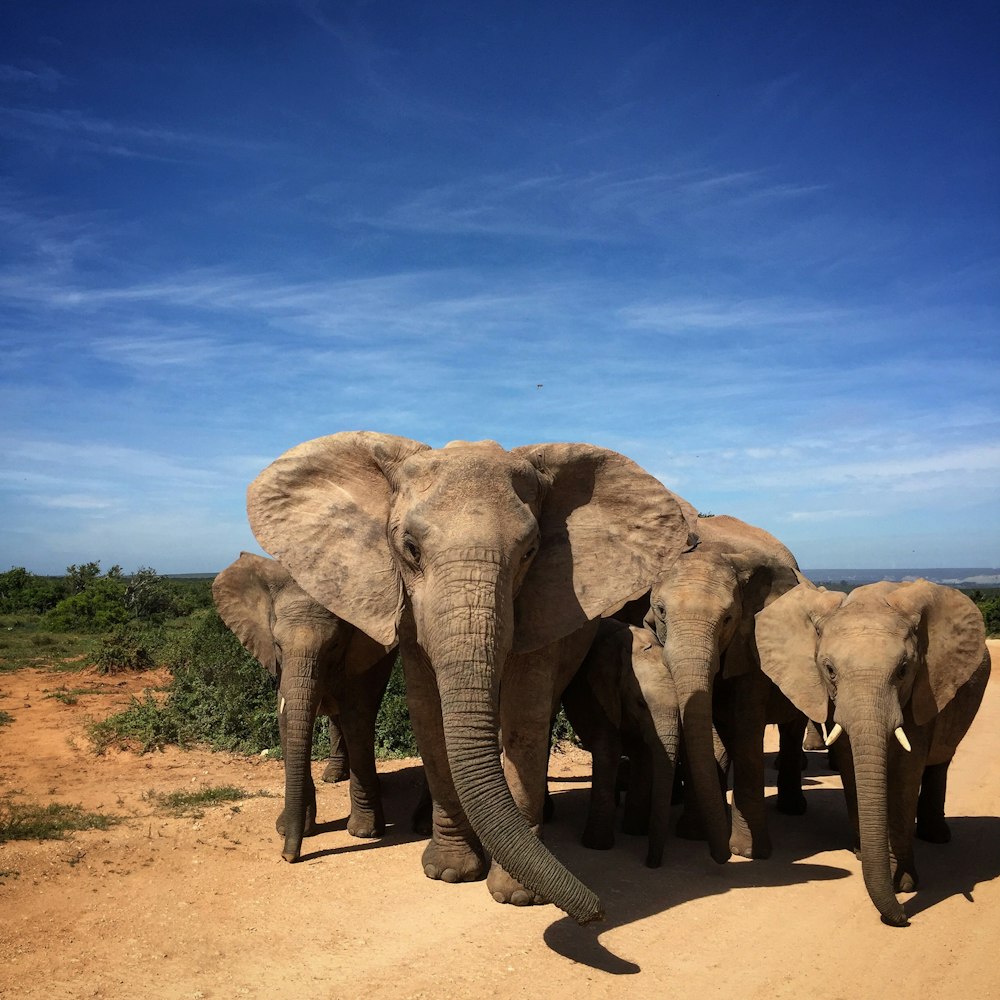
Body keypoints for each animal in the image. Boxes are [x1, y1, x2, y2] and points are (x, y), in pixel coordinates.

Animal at [213, 552, 396, 864]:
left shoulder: (362, 653)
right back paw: (332, 777)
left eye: (334, 645)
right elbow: (286, 720)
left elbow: (357, 719)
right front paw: (288, 829)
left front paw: (364, 832)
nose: (288, 857)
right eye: (277, 644)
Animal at [564, 616, 680, 868]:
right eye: (640, 703)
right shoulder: (600, 694)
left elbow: (645, 753)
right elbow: (609, 750)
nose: (650, 864)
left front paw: (635, 832)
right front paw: (597, 846)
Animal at [644, 512, 808, 864]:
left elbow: (746, 730)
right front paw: (693, 835)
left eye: (729, 618)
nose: (719, 858)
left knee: (791, 729)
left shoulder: (752, 642)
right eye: (661, 612)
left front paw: (747, 853)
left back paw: (792, 810)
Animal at [756, 580, 992, 928]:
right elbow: (850, 763)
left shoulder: (923, 687)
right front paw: (862, 854)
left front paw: (903, 884)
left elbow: (906, 773)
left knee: (939, 762)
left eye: (904, 670)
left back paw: (936, 837)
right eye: (829, 670)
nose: (903, 918)